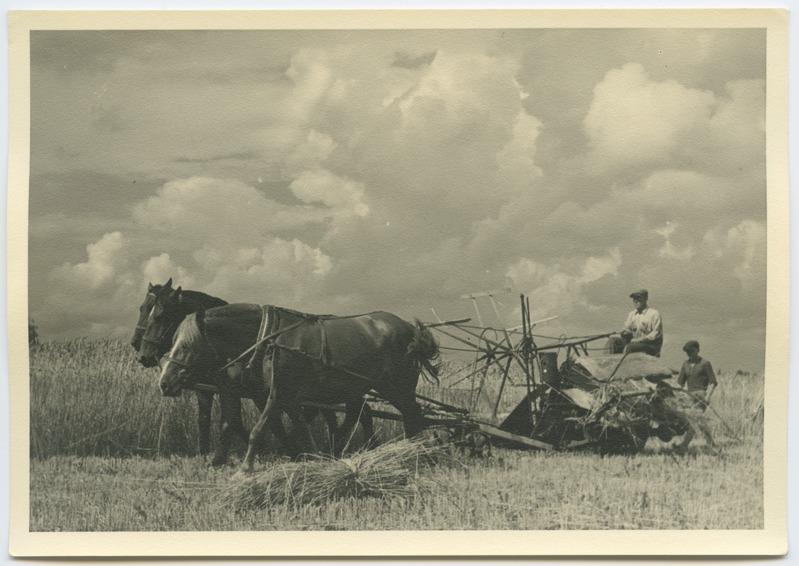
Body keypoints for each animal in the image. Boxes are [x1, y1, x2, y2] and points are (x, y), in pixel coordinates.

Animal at [130, 280, 225, 458]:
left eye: (159, 316)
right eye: (142, 308)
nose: (142, 355)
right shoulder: (204, 390)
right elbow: (204, 418)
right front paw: (203, 452)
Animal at [159, 306, 440, 474]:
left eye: (187, 346)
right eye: (173, 341)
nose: (164, 382)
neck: (267, 340)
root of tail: (410, 329)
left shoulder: (277, 394)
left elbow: (259, 430)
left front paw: (245, 469)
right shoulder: (285, 396)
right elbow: (298, 427)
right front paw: (313, 456)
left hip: (397, 388)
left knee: (413, 416)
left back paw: (418, 454)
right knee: (374, 415)